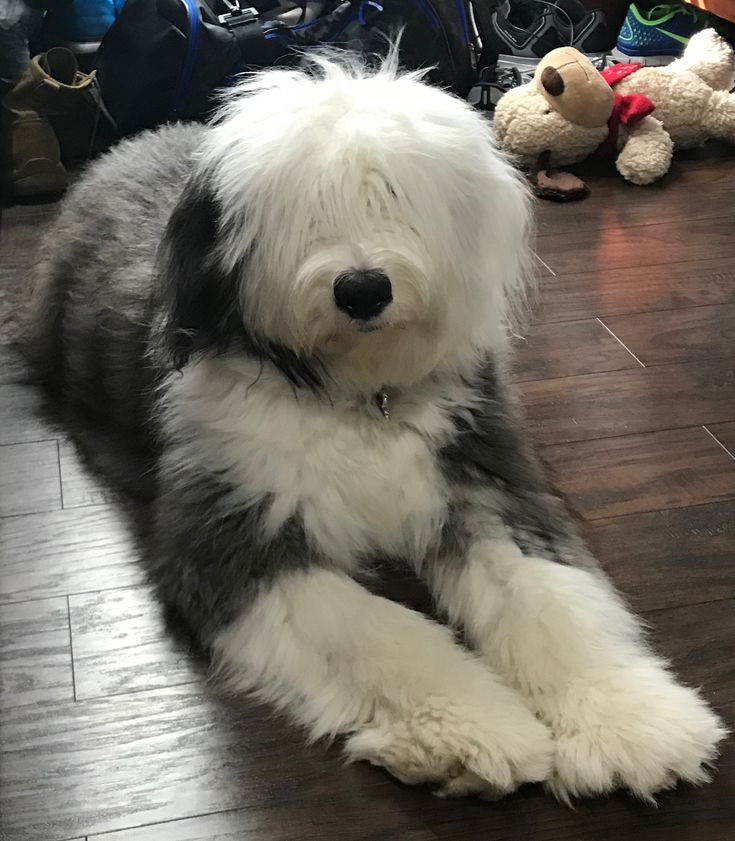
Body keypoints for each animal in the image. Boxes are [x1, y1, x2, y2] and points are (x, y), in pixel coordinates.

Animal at [24, 52, 724, 800]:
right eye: (303, 209)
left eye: (394, 195)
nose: (362, 289)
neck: (360, 397)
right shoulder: (227, 534)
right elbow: (373, 629)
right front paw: (473, 730)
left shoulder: (483, 478)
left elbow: (550, 597)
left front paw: (629, 719)